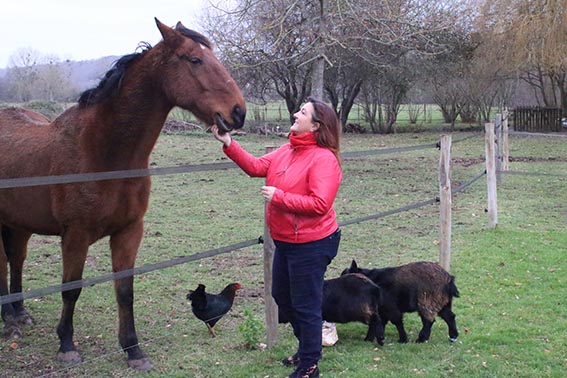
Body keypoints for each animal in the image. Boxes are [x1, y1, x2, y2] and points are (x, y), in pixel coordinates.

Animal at [1, 19, 247, 370]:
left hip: (19, 224)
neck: (102, 153)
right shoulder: (75, 235)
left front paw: (133, 349)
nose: (238, 113)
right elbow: (71, 290)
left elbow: (125, 290)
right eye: (194, 59)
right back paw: (9, 320)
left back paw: (19, 314)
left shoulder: (129, 231)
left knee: (16, 259)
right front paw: (67, 344)